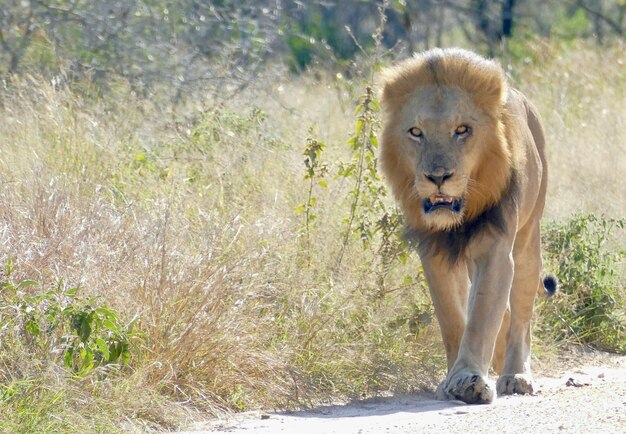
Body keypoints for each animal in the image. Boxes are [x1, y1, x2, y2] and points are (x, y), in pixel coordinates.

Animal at [378, 47, 552, 404]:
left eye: (462, 130)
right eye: (416, 132)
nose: (438, 177)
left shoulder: (496, 249)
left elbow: (482, 315)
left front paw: (469, 380)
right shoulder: (434, 253)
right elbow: (454, 318)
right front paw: (454, 378)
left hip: (528, 240)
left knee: (521, 316)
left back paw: (515, 375)